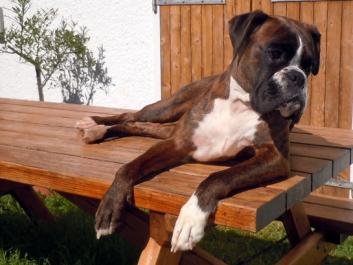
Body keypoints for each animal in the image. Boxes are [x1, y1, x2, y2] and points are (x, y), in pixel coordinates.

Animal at [75, 10, 320, 252]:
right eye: (275, 53)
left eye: (309, 67)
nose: (298, 77)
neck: (240, 105)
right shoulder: (178, 144)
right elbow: (127, 168)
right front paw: (110, 206)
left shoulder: (274, 157)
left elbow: (218, 177)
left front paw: (191, 218)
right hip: (165, 110)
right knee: (131, 116)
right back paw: (94, 124)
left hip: (165, 128)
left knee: (137, 126)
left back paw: (96, 131)